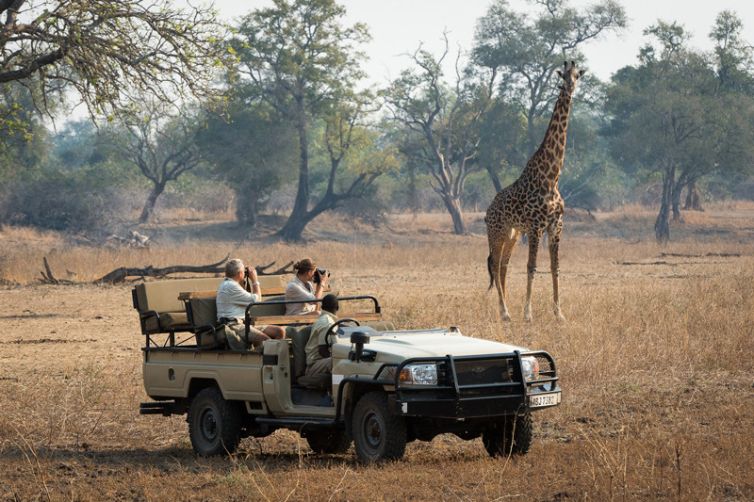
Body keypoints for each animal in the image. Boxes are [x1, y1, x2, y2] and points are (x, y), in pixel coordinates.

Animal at [484, 61, 584, 322]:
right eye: (563, 75)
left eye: (577, 76)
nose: (569, 89)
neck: (551, 177)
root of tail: (488, 211)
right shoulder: (536, 226)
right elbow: (531, 267)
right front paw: (528, 314)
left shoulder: (556, 225)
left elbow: (554, 267)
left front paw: (559, 314)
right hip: (497, 232)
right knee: (495, 264)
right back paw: (505, 312)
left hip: (512, 233)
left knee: (503, 266)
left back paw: (506, 310)